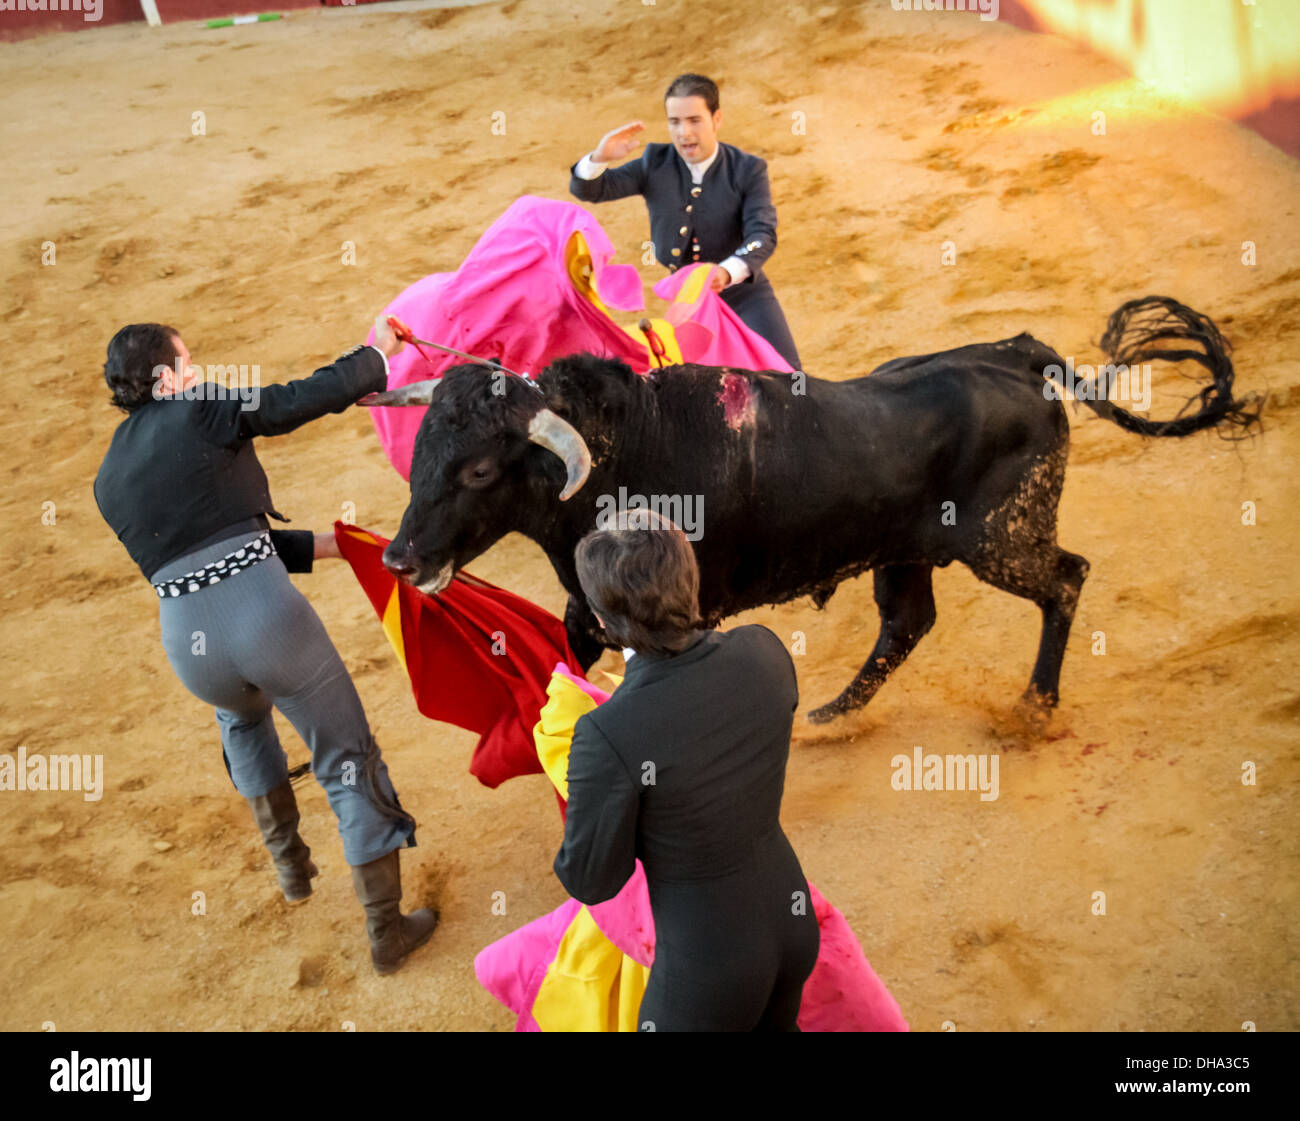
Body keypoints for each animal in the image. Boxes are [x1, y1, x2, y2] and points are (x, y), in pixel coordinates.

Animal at [361, 293, 1253, 723]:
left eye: (479, 468)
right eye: (421, 454)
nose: (400, 557)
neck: (625, 448)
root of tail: (1016, 355)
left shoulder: (686, 609)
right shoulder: (587, 609)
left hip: (1003, 539)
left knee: (1066, 578)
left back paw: (1035, 707)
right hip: (908, 548)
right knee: (908, 622)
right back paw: (833, 713)